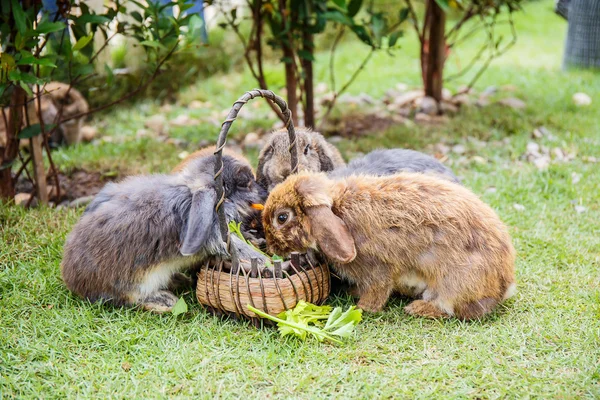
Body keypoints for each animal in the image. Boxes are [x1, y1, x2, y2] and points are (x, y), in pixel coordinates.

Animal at [61, 152, 268, 310]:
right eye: (245, 183)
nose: (264, 192)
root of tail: (72, 281)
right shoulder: (219, 236)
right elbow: (239, 248)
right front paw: (265, 263)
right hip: (137, 282)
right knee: (129, 298)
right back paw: (166, 301)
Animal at [262, 173, 516, 320]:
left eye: (282, 217)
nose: (270, 247)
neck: (337, 209)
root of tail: (504, 284)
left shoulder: (377, 268)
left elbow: (378, 289)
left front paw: (363, 307)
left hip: (455, 282)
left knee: (456, 309)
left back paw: (418, 309)